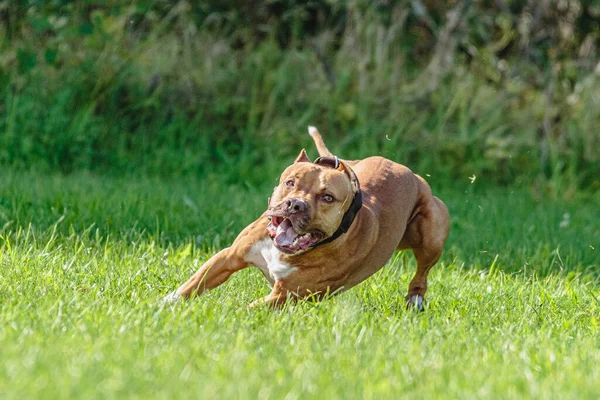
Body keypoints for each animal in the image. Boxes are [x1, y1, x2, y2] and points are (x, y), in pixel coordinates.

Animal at [162, 126, 448, 310]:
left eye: (327, 197)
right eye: (290, 182)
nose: (295, 204)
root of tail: (407, 171)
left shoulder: (284, 295)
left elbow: (247, 309)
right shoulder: (229, 257)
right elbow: (194, 283)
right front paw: (165, 304)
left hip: (431, 230)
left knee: (422, 272)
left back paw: (415, 300)